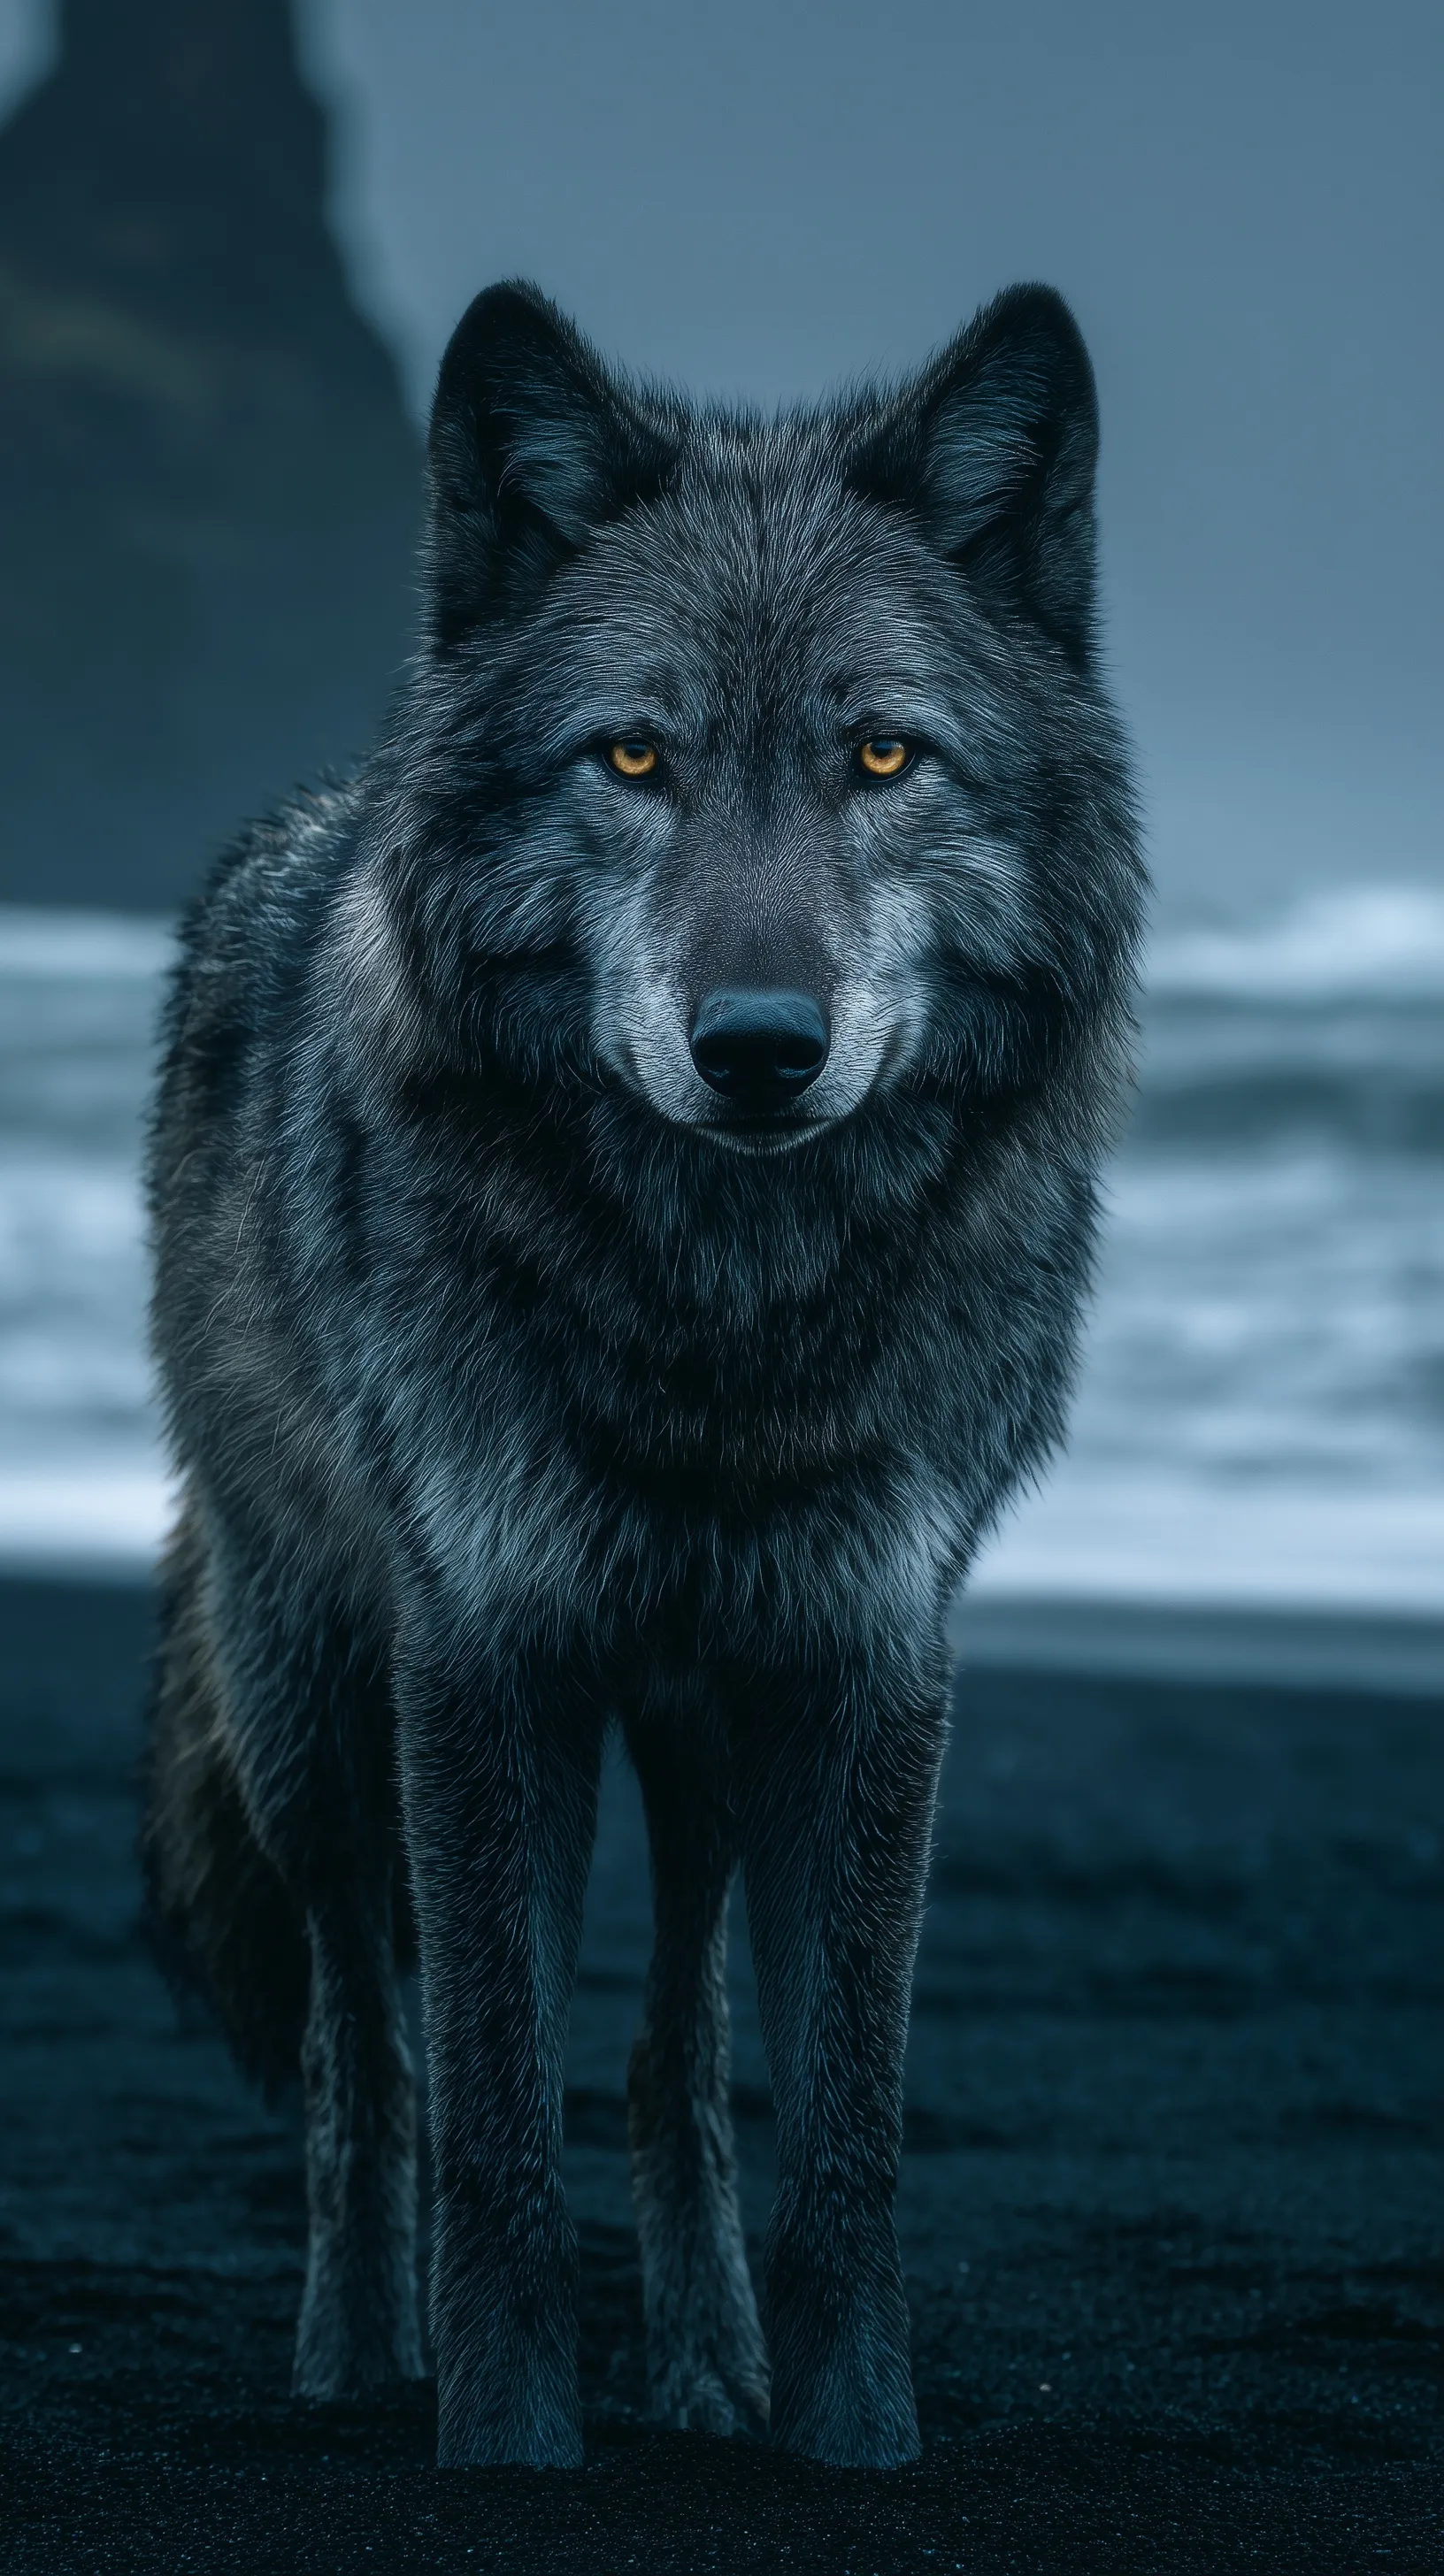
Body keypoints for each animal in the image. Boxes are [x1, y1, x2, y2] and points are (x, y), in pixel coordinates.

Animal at [142, 277, 1143, 2468]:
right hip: (315, 1708)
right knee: (363, 2046)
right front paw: (506, 2435)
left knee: (673, 2047)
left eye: (880, 753)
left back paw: (703, 2367)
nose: (760, 1045)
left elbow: (837, 2115)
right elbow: (489, 2094)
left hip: (694, 1732)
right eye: (633, 754)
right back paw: (359, 2350)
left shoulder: (864, 1654)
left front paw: (848, 2433)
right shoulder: (485, 1648)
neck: (726, 1332)